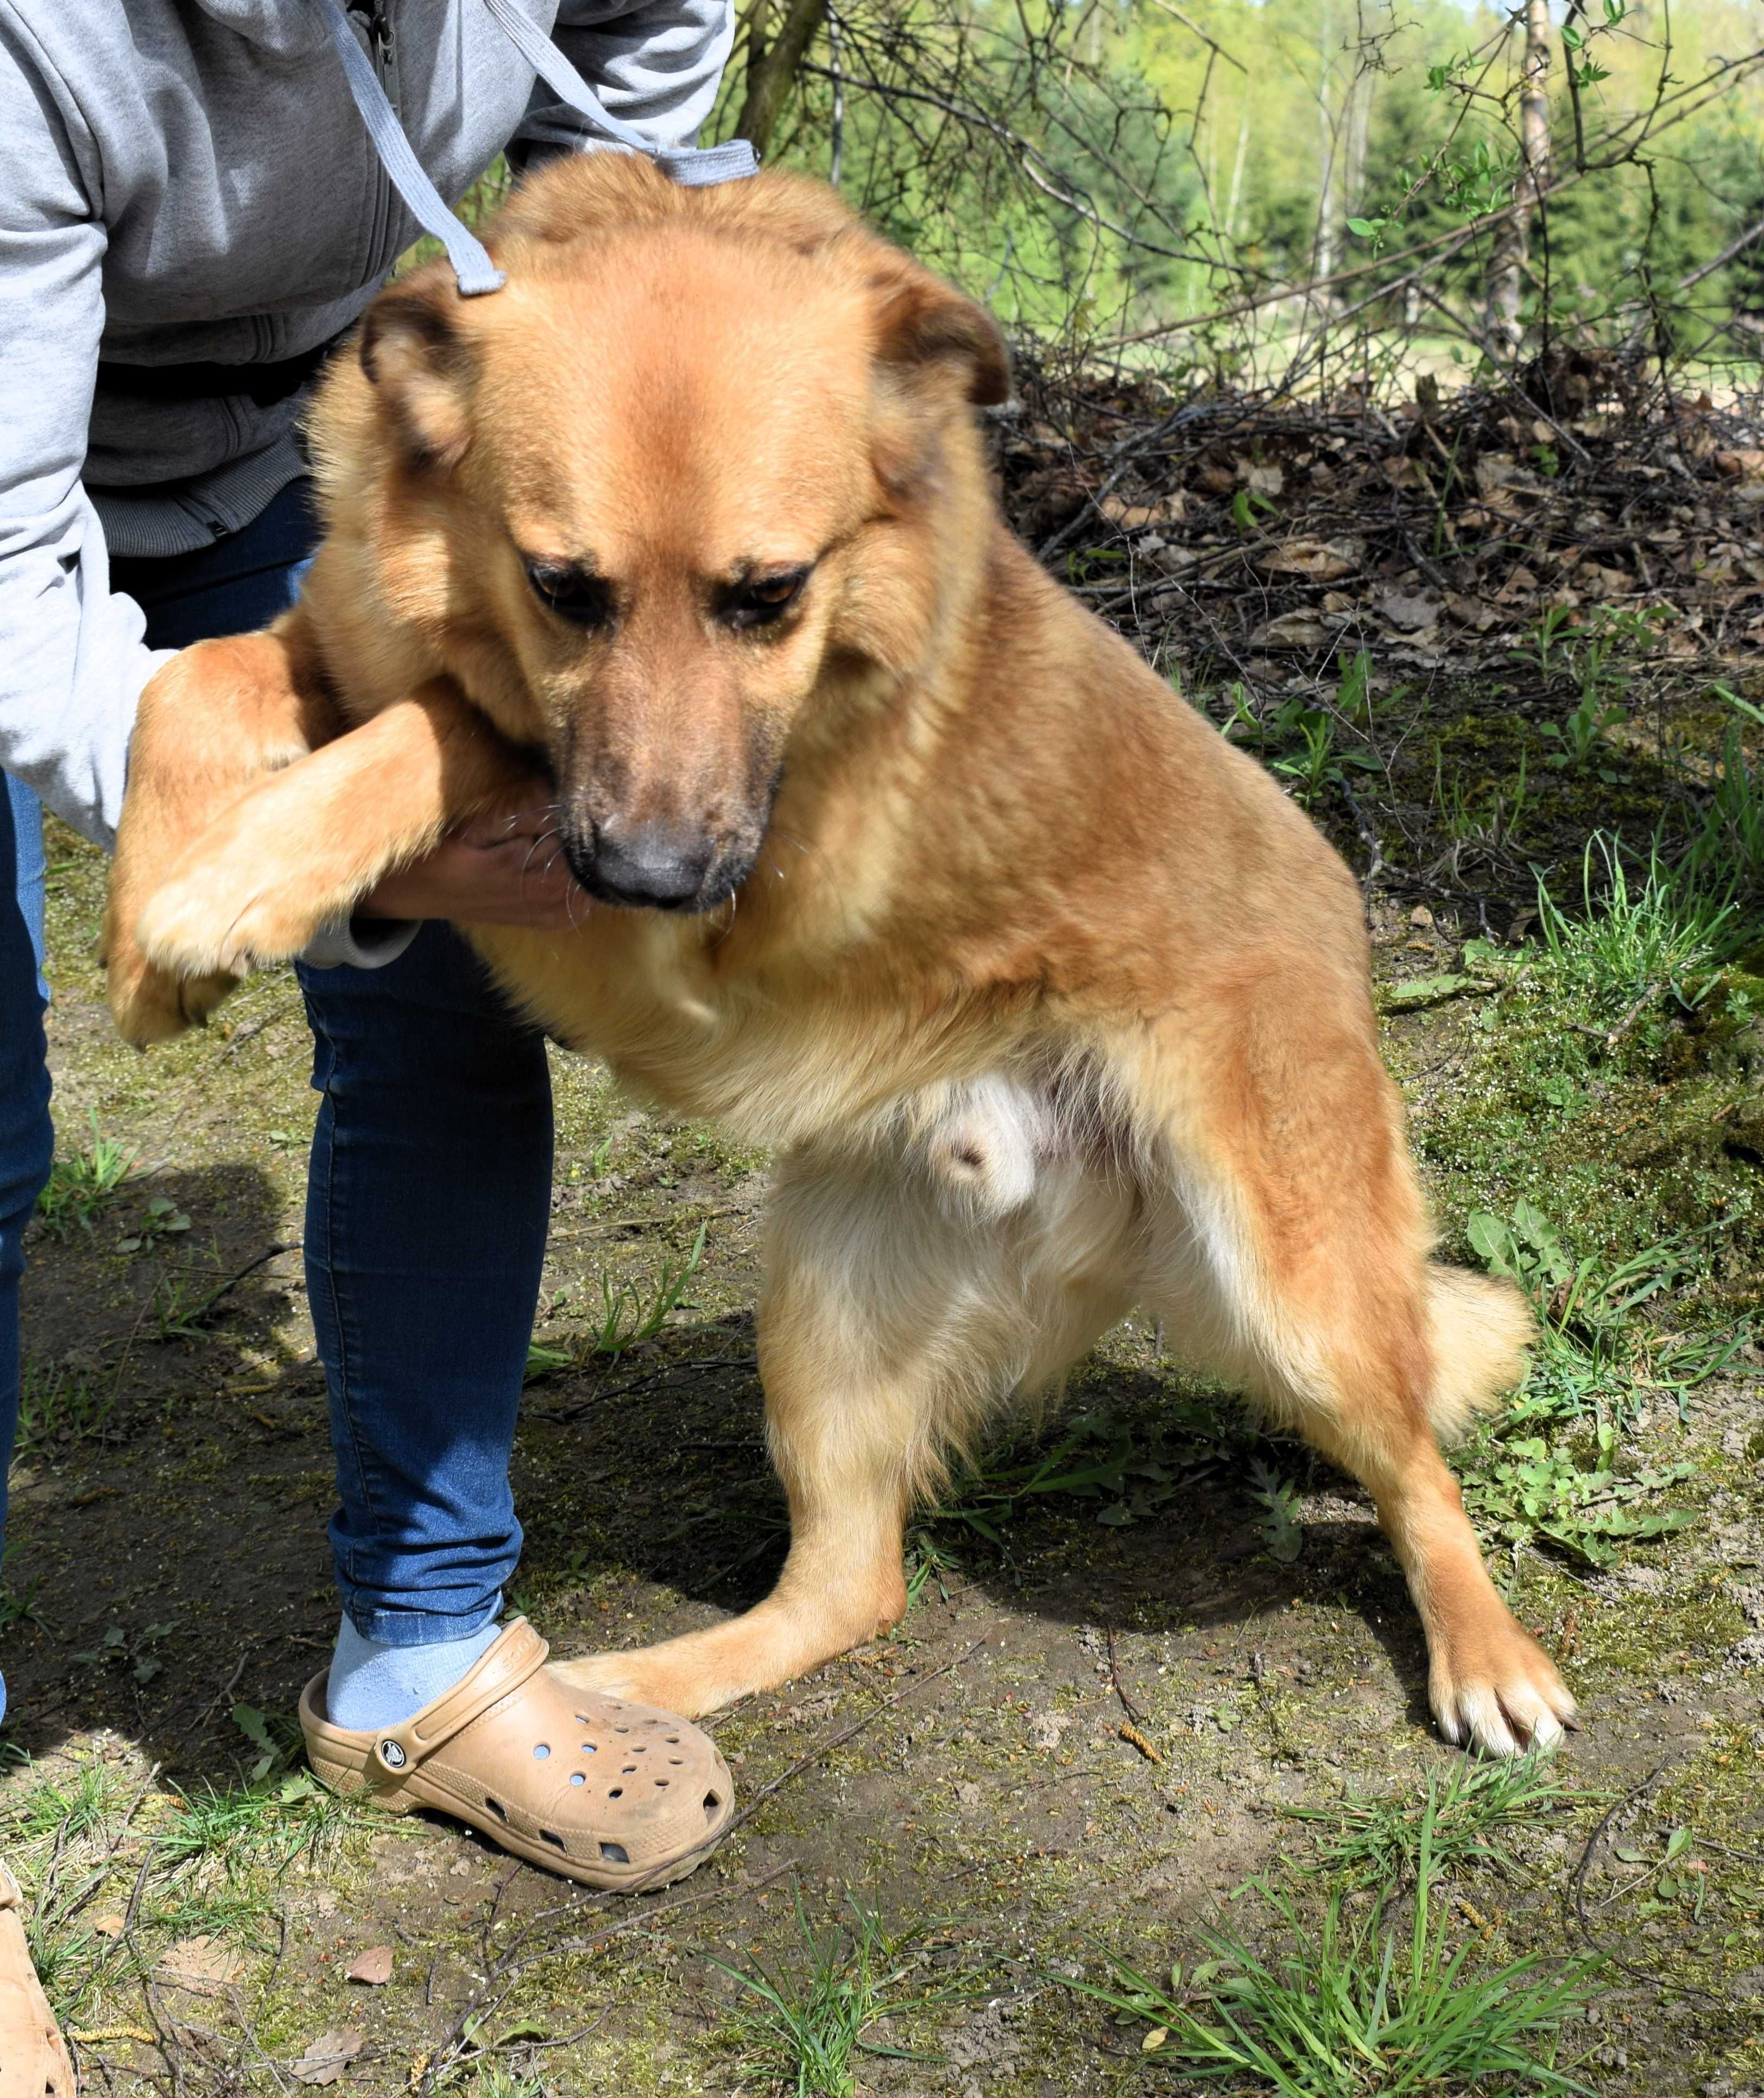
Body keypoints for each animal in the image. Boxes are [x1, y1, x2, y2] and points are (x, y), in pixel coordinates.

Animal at [106, 155, 1569, 1754]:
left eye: (770, 595)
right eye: (563, 587)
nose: (652, 879)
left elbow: (437, 728)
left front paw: (228, 888)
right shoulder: (348, 649)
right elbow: (191, 680)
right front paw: (154, 927)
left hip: (1294, 1288)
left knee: (1414, 1466)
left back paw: (1489, 1656)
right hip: (825, 1323)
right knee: (851, 1588)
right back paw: (648, 1687)